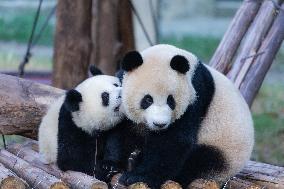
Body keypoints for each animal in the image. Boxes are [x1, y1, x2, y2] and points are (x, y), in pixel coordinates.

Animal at [106, 44, 253, 188]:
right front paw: (110, 167)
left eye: (171, 100)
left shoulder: (195, 97)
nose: (160, 124)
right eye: (148, 100)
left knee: (200, 161)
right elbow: (122, 130)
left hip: (225, 149)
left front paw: (137, 177)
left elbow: (174, 142)